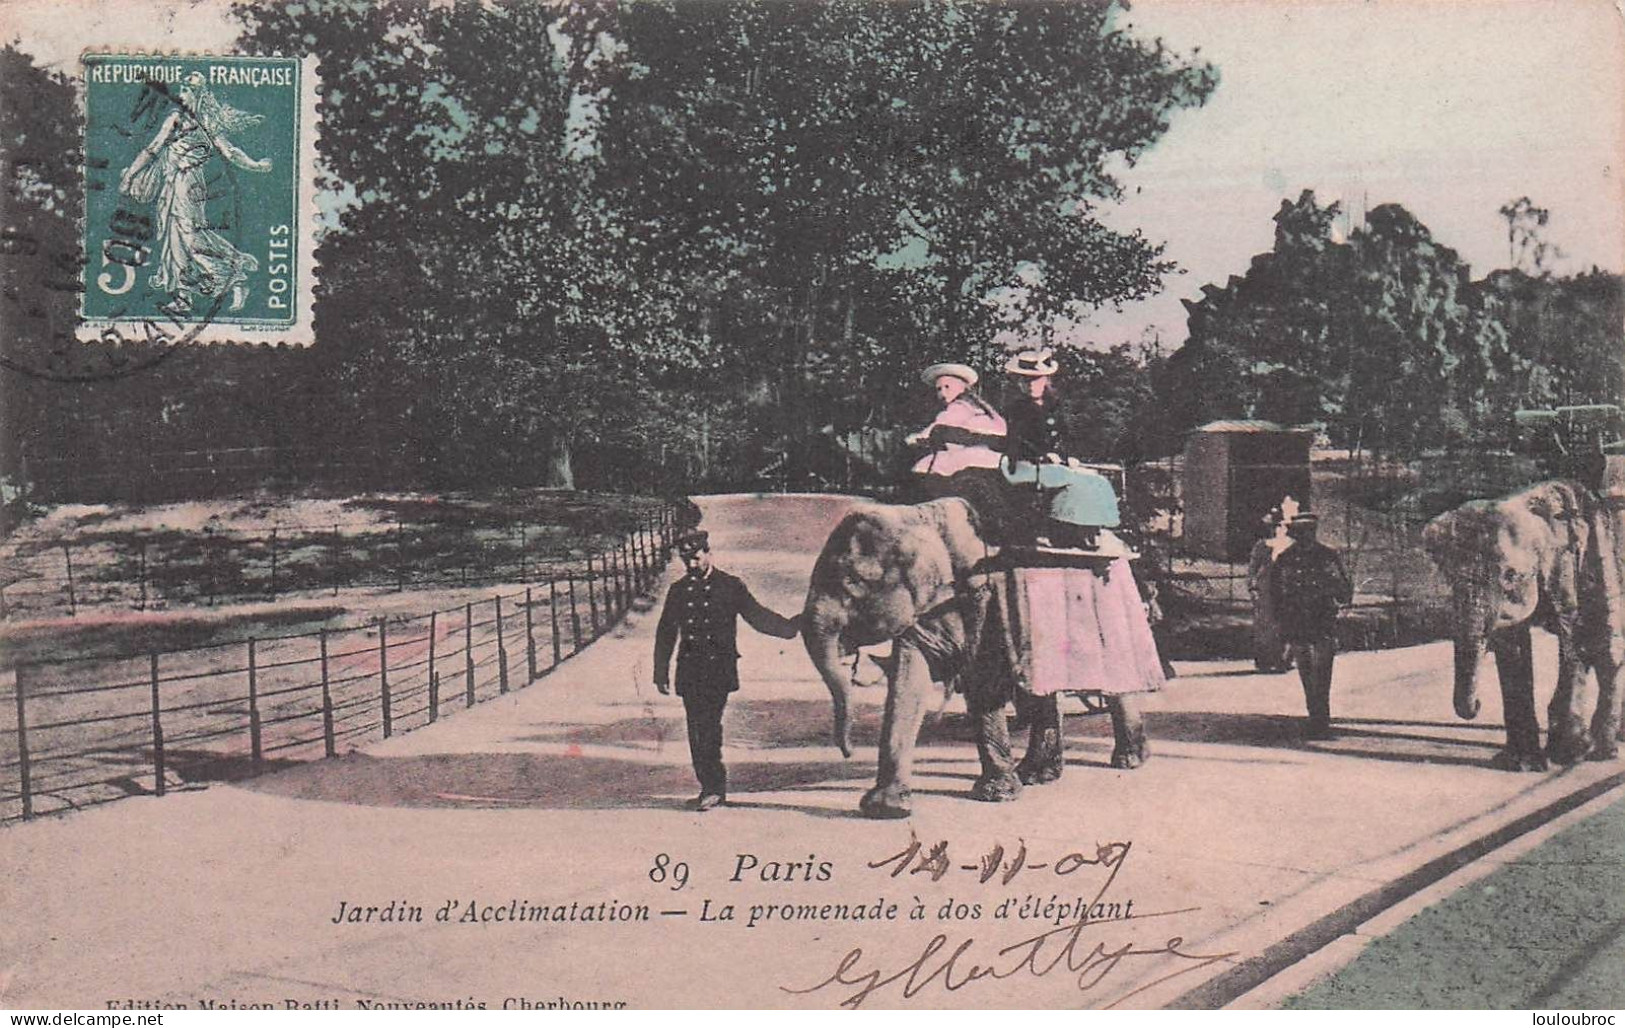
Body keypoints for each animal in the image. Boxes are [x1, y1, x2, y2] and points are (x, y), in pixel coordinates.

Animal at [802, 496, 1157, 818]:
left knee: (1117, 683)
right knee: (1040, 688)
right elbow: (908, 680)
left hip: (1115, 600)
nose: (847, 753)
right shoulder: (925, 609)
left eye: (853, 583)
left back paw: (1128, 761)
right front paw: (887, 809)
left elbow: (983, 680)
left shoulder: (984, 594)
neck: (920, 518)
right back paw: (1036, 775)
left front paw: (995, 796)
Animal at [1423, 464, 1625, 769]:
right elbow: (1512, 645)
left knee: (1605, 645)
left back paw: (1604, 752)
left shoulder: (1567, 562)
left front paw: (1567, 755)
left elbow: (1572, 635)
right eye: (1450, 577)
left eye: (1511, 575)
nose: (1478, 704)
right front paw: (1522, 764)